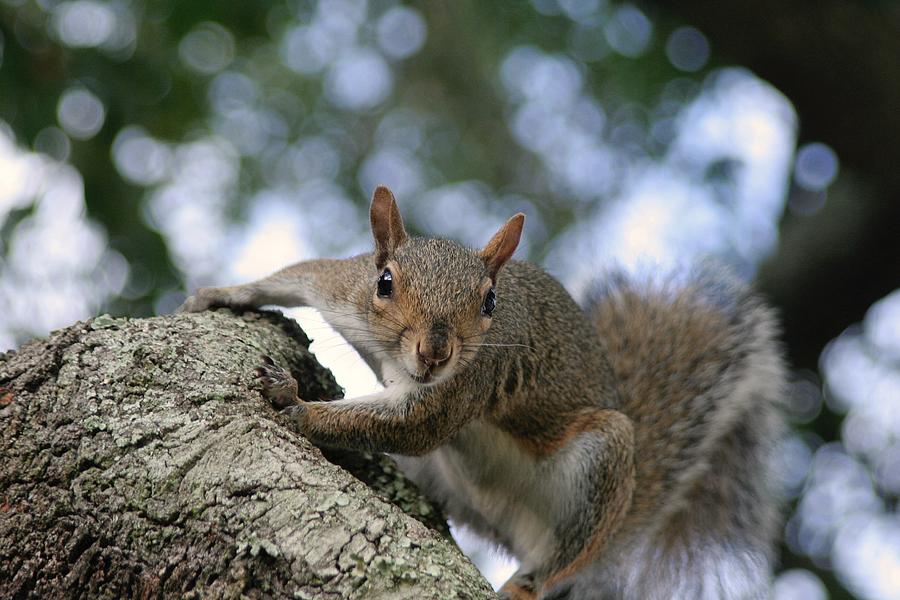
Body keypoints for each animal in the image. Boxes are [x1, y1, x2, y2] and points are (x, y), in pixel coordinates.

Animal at [179, 185, 784, 596]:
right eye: (384, 282)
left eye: (490, 301)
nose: (435, 354)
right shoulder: (339, 287)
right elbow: (296, 275)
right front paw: (219, 295)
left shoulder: (470, 382)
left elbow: (412, 425)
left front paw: (296, 406)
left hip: (603, 462)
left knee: (558, 561)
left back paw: (524, 584)